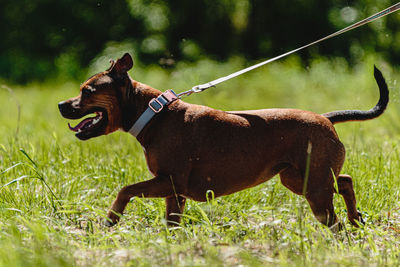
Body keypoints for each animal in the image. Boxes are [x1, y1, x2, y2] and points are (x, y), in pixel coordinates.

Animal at [57, 54, 390, 228]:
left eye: (87, 91)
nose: (61, 104)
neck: (153, 114)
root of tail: (325, 118)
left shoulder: (169, 180)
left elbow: (125, 189)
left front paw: (111, 219)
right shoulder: (173, 191)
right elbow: (171, 221)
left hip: (314, 188)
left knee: (334, 216)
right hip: (297, 178)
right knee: (345, 180)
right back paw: (356, 218)